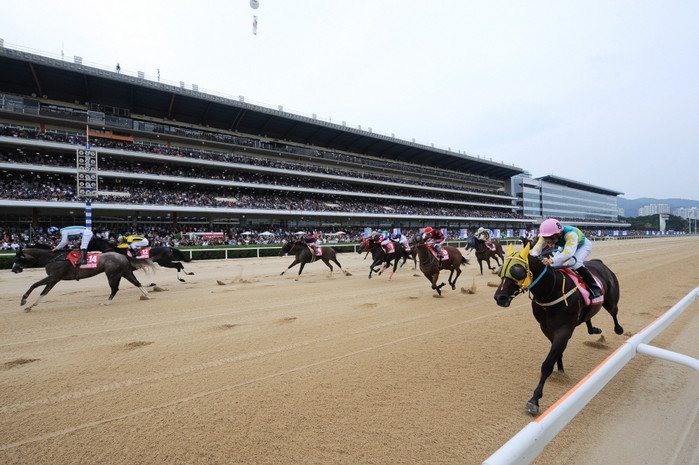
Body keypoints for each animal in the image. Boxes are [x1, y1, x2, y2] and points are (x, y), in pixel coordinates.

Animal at [11, 245, 155, 312]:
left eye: (17, 258)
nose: (13, 269)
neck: (53, 258)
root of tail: (122, 255)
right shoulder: (54, 279)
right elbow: (43, 293)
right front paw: (30, 306)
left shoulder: (54, 276)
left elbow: (34, 285)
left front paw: (23, 301)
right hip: (124, 272)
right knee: (136, 282)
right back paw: (147, 295)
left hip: (112, 274)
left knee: (115, 288)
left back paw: (106, 302)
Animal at [493, 243, 624, 415]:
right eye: (501, 270)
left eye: (517, 271)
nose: (499, 297)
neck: (550, 292)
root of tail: (599, 262)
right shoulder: (546, 328)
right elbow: (557, 351)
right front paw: (560, 367)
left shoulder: (564, 329)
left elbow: (547, 364)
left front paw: (534, 400)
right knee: (588, 317)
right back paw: (594, 329)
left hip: (610, 300)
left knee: (614, 312)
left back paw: (619, 329)